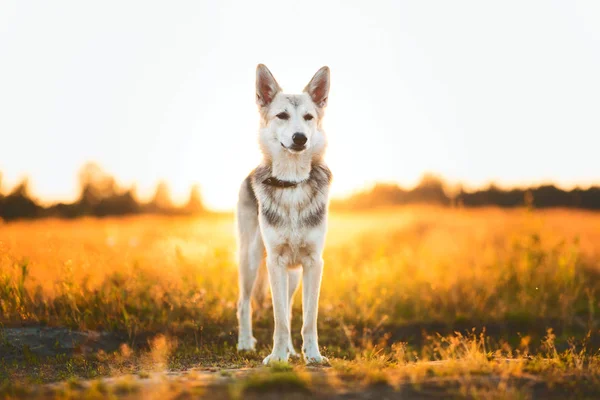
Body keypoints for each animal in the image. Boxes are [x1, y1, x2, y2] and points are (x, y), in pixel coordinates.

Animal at [236, 63, 330, 366]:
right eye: (282, 116)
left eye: (309, 117)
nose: (300, 138)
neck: (292, 183)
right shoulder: (274, 263)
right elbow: (279, 320)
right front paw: (277, 357)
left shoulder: (313, 263)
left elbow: (307, 319)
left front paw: (313, 356)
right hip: (251, 260)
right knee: (243, 303)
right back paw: (245, 343)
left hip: (293, 276)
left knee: (289, 309)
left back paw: (291, 350)